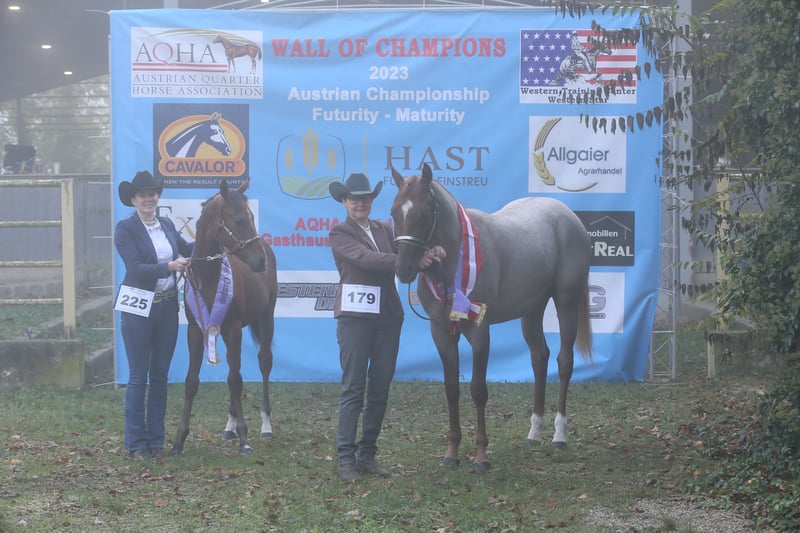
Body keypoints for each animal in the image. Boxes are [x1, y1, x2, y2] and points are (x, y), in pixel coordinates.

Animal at [170, 178, 277, 455]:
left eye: (251, 217)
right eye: (239, 220)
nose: (260, 261)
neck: (208, 278)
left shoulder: (234, 329)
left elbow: (236, 380)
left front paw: (245, 439)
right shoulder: (196, 332)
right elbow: (192, 381)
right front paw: (179, 440)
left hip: (266, 318)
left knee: (263, 363)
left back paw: (266, 426)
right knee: (234, 368)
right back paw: (230, 426)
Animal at [390, 163, 593, 470]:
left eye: (424, 214)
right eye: (394, 212)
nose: (404, 270)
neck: (455, 259)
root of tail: (568, 215)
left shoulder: (479, 331)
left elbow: (477, 390)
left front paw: (481, 457)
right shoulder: (441, 332)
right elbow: (451, 389)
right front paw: (451, 453)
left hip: (566, 302)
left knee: (564, 362)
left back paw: (559, 435)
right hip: (532, 310)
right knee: (539, 358)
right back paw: (534, 433)